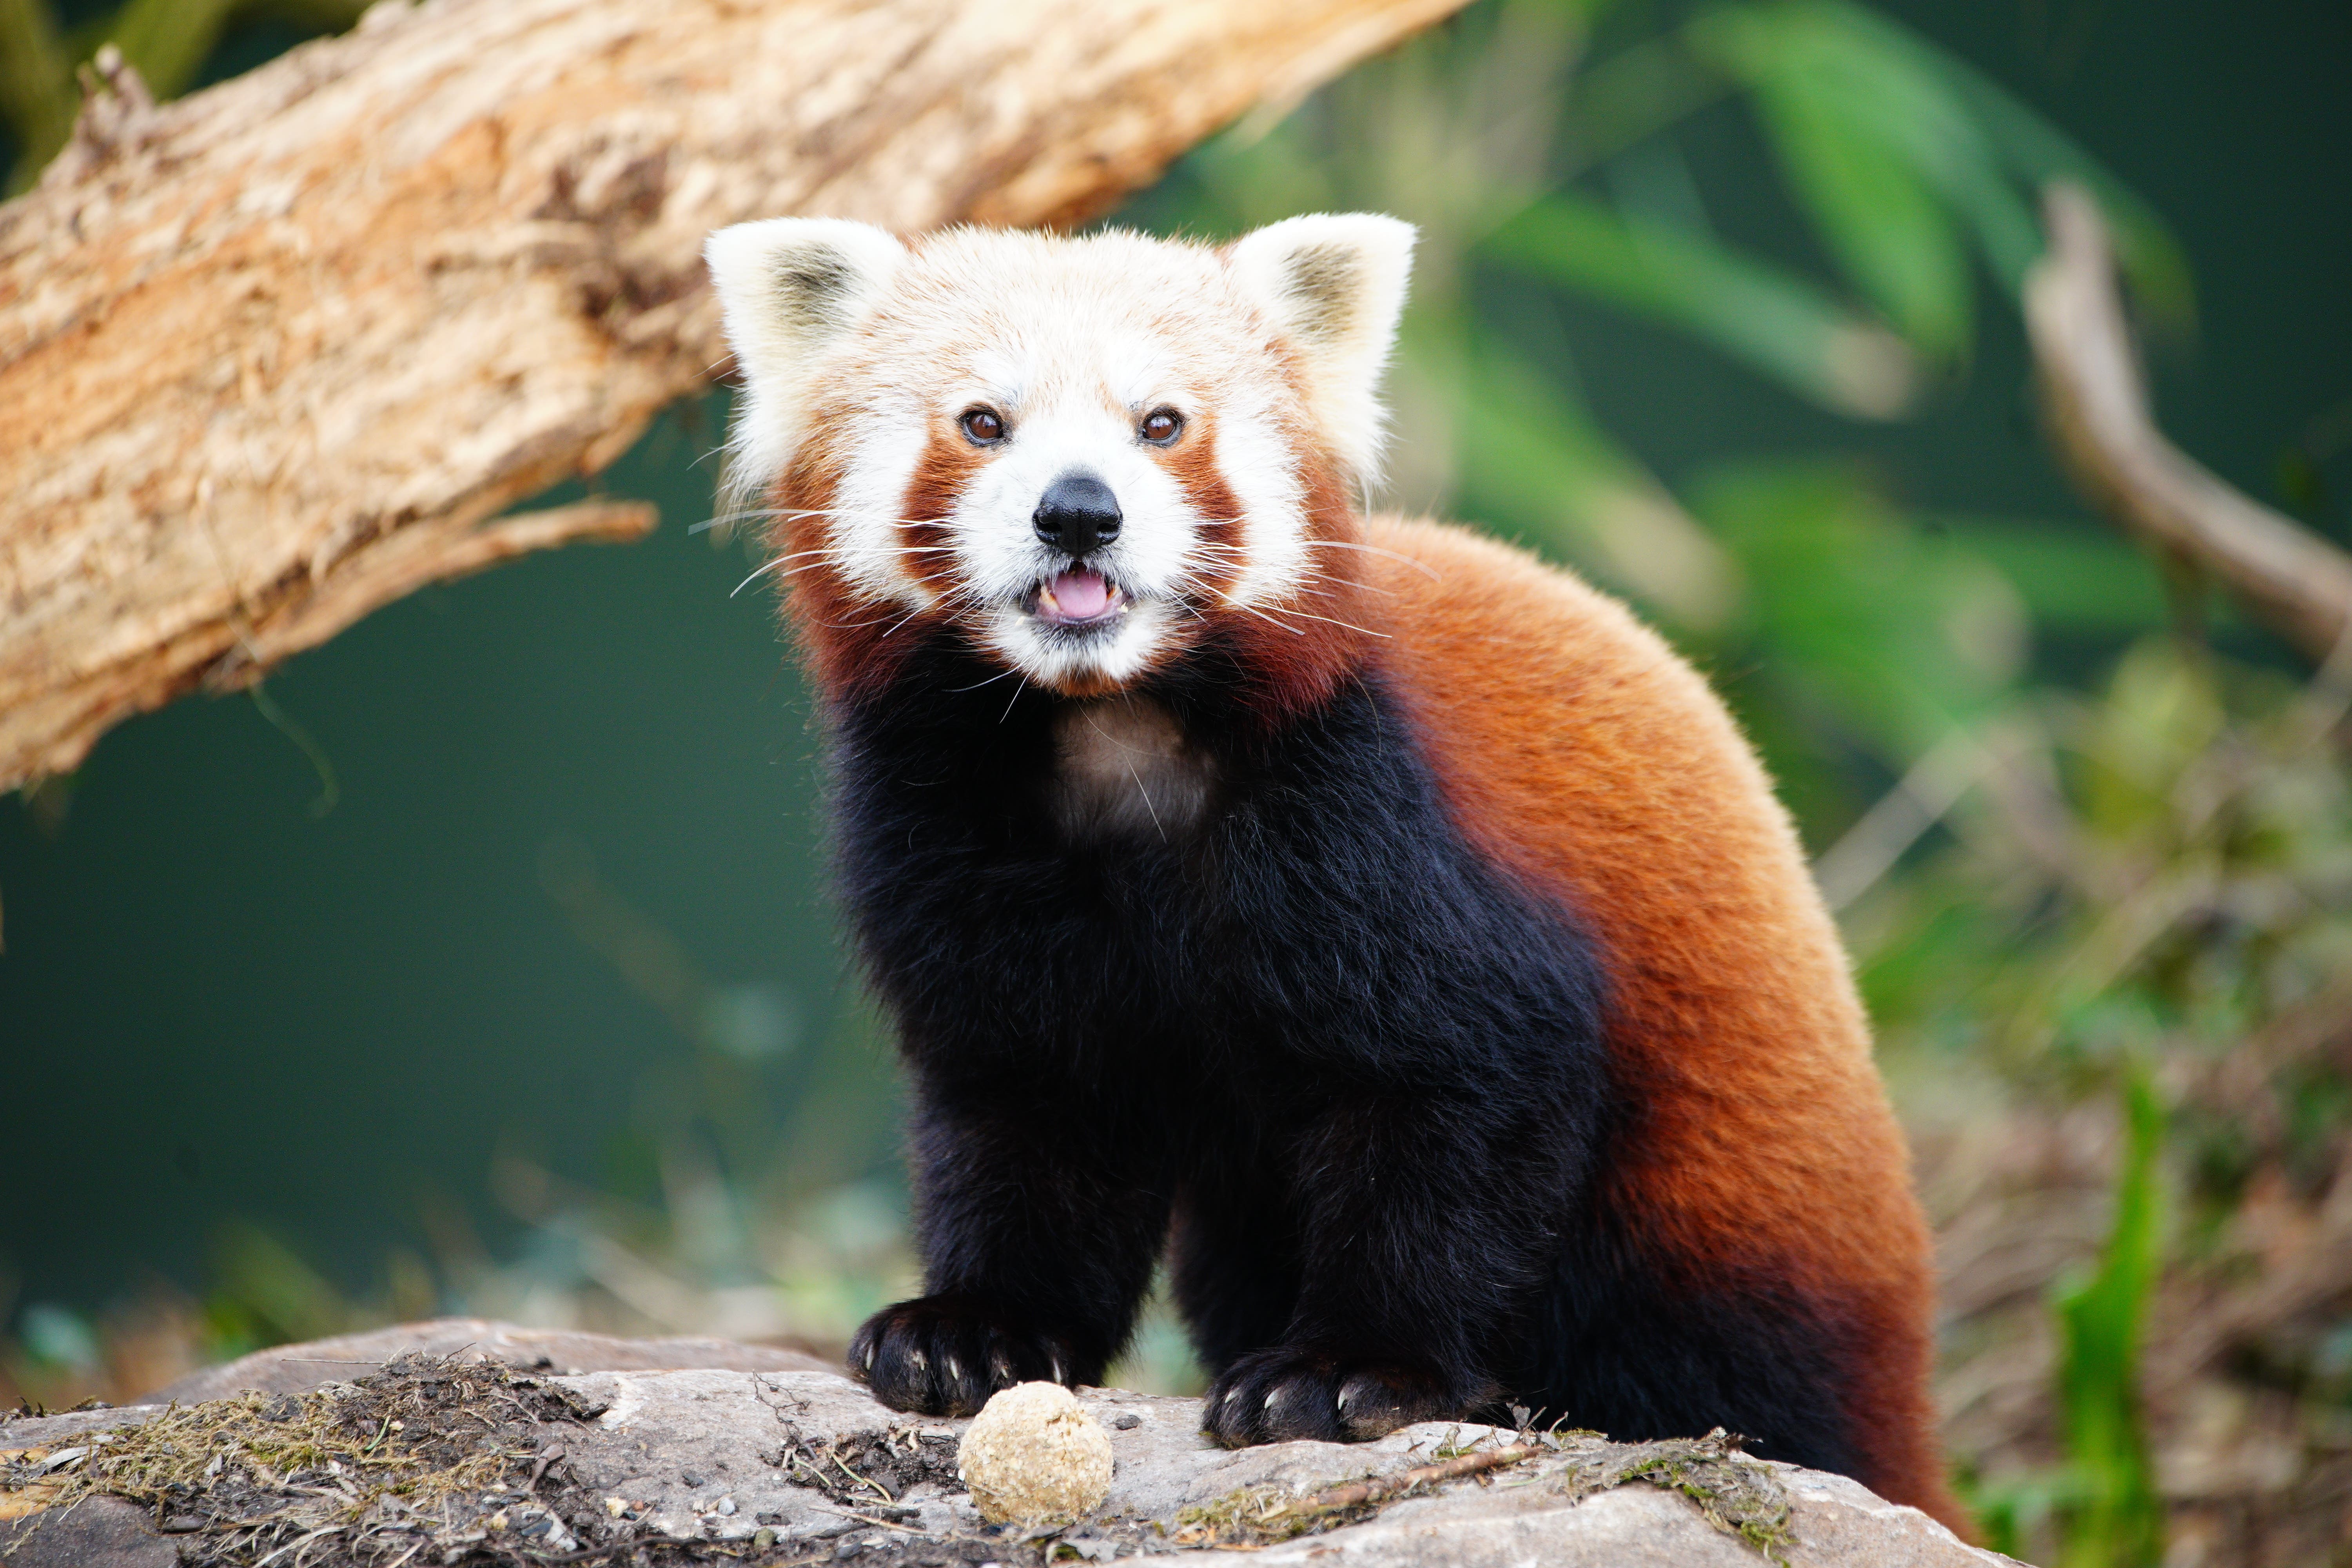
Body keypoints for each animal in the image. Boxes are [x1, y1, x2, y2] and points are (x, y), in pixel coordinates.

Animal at [706, 208, 1957, 1533]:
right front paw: (977, 1326)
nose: (1080, 512)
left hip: (1723, 1219)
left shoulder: (1384, 825)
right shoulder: (950, 841)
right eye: (983, 422)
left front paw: (1353, 1369)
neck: (1109, 731)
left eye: (1163, 423)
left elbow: (1457, 1104)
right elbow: (1027, 1104)